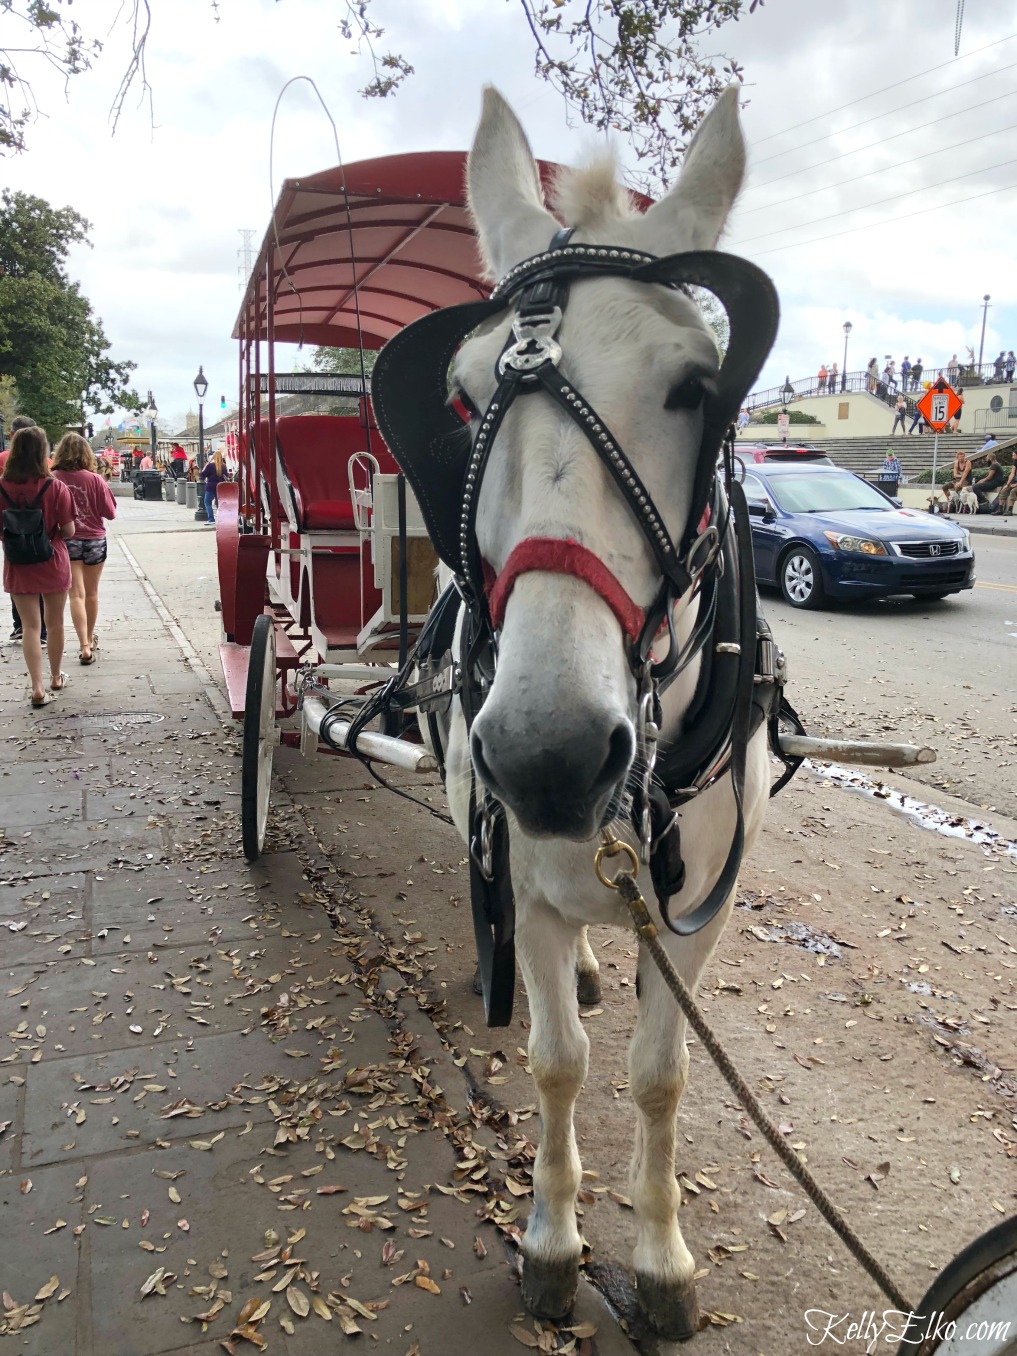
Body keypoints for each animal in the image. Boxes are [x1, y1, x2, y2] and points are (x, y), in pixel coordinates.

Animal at [439, 87, 770, 1345]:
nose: (549, 755)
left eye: (695, 387)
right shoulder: (523, 883)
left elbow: (658, 1074)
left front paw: (663, 1257)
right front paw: (552, 1238)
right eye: (464, 396)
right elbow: (558, 1063)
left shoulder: (700, 911)